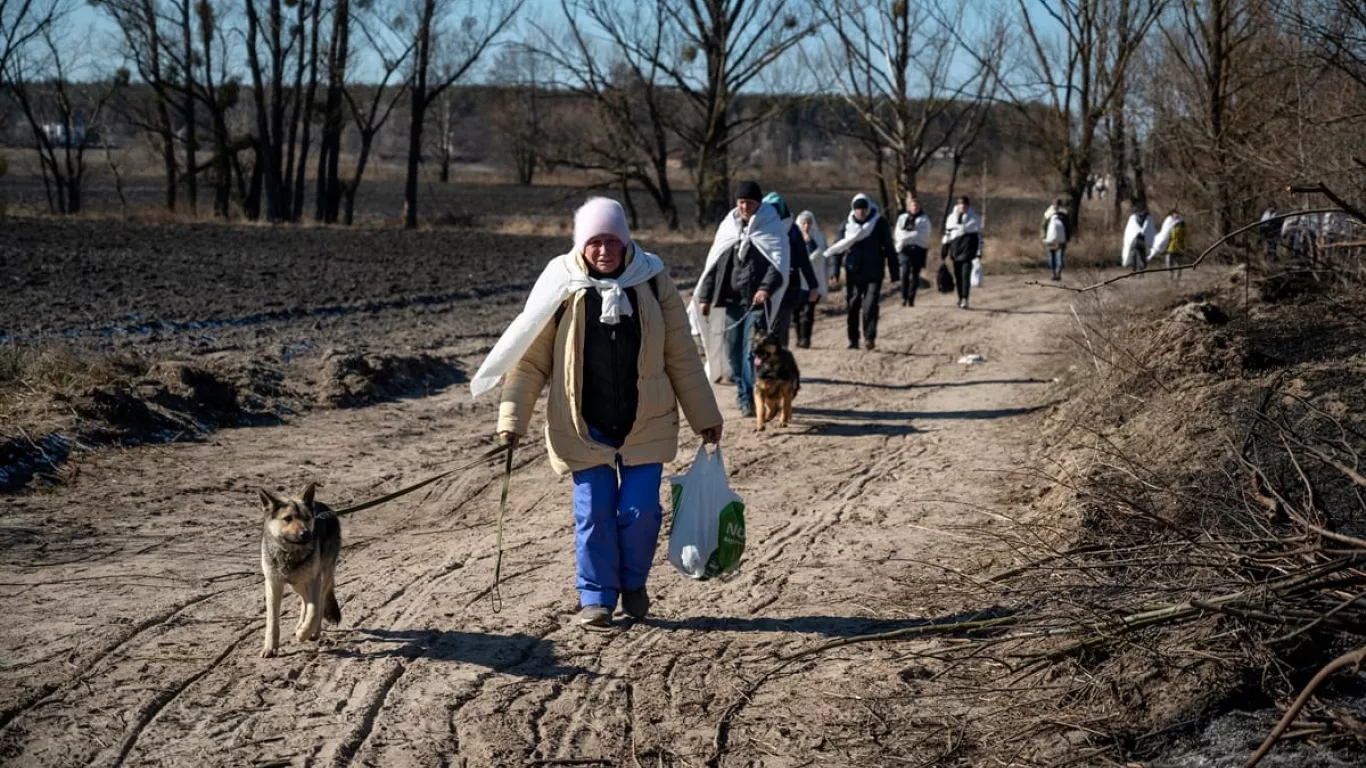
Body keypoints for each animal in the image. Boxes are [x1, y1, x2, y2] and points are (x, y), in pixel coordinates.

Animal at [258, 481, 341, 655]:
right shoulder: (273, 583)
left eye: (307, 518)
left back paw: (313, 631)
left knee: (319, 601)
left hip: (323, 576)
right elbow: (272, 620)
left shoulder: (314, 579)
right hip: (297, 583)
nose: (306, 533)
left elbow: (314, 610)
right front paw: (270, 647)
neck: (290, 553)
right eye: (288, 518)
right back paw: (301, 625)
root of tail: (326, 508)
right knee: (305, 600)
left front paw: (304, 632)